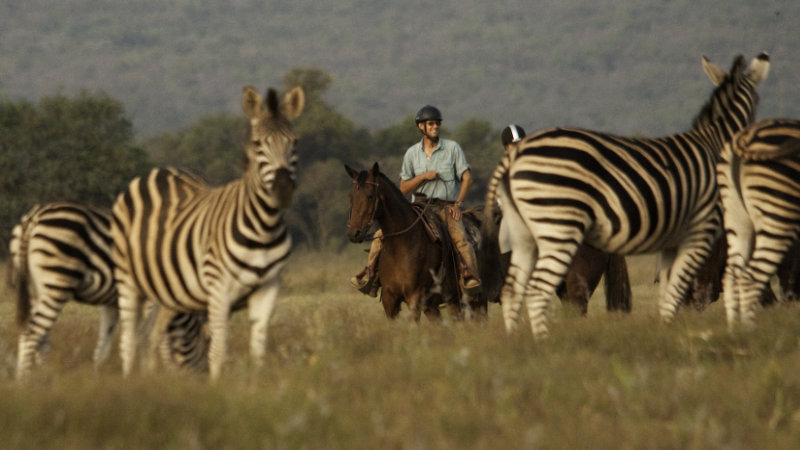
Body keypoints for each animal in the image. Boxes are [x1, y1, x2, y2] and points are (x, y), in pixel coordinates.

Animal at [9, 202, 209, 378]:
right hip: (56, 283)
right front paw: (153, 375)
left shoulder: (111, 304)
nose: (198, 380)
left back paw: (43, 378)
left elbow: (104, 347)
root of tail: (34, 216)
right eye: (205, 345)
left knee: (41, 339)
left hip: (35, 289)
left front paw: (99, 379)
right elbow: (154, 338)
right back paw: (25, 383)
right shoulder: (151, 302)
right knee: (31, 335)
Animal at [114, 85, 308, 380]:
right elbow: (218, 349)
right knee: (128, 339)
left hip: (168, 293)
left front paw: (256, 385)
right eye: (257, 145)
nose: (283, 188)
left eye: (294, 142)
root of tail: (157, 171)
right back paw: (129, 380)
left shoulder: (268, 288)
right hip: (129, 279)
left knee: (151, 337)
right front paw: (217, 388)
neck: (264, 227)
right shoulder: (219, 289)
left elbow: (258, 348)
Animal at [344, 162, 488, 320]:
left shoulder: (414, 298)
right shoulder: (389, 299)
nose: (354, 233)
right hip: (445, 303)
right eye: (351, 196)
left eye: (370, 196)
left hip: (478, 300)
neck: (401, 247)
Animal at [716, 118, 800, 328]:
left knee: (731, 276)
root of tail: (745, 137)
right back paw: (750, 331)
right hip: (777, 210)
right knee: (751, 278)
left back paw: (734, 330)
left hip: (737, 217)